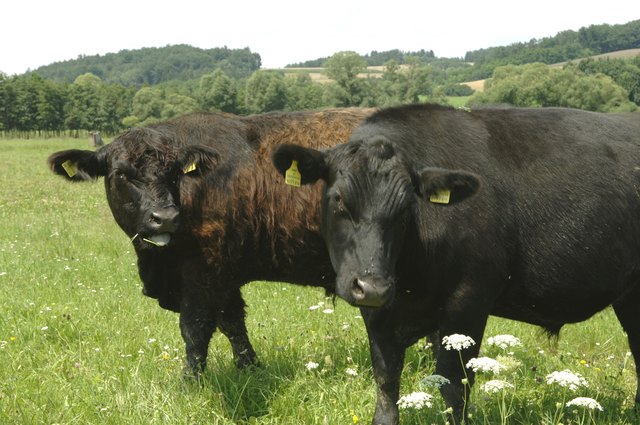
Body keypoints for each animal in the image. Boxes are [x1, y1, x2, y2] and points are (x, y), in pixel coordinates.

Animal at [276, 102, 640, 424]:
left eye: (407, 207)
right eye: (338, 198)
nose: (373, 286)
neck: (411, 275)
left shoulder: (469, 300)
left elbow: (454, 387)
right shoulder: (378, 314)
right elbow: (386, 385)